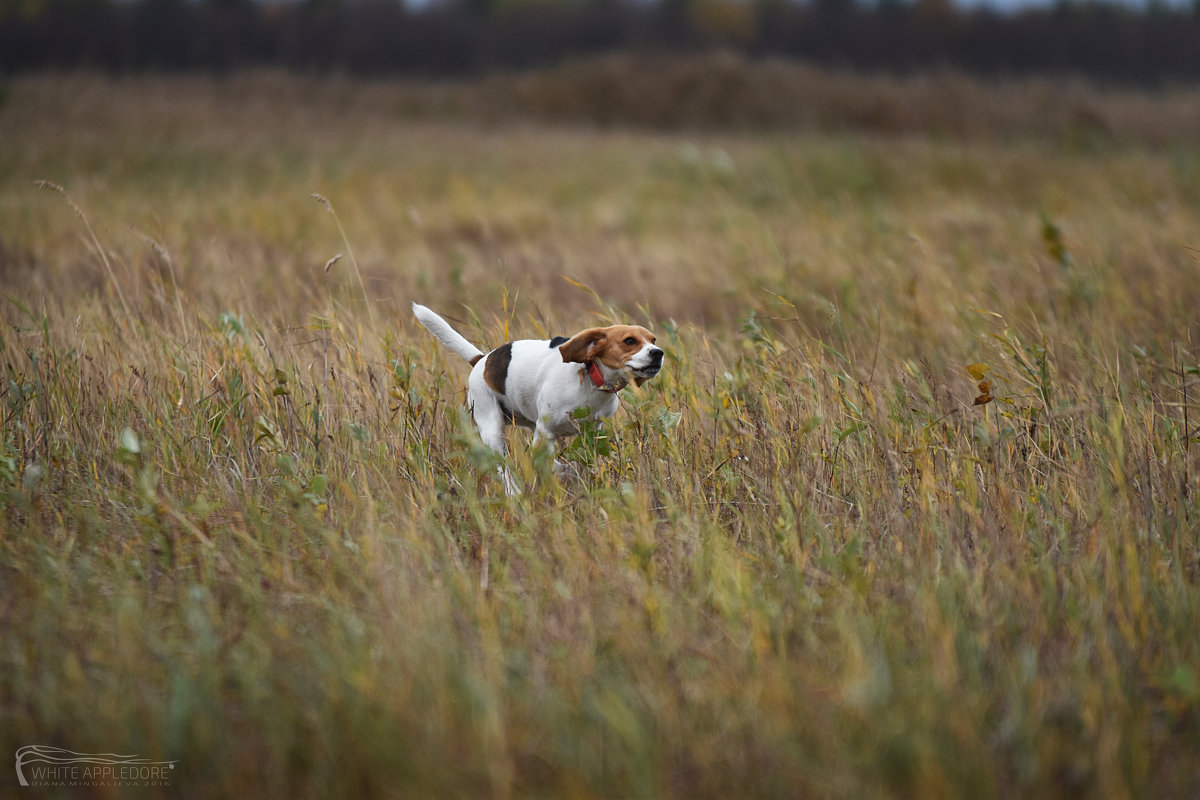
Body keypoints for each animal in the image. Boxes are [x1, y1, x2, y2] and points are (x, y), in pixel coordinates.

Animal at [408, 299, 662, 489]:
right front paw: (565, 472)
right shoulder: (545, 431)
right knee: (503, 468)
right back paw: (515, 493)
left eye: (653, 339)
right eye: (629, 341)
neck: (591, 381)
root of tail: (482, 360)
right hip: (492, 429)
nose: (658, 353)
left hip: (528, 421)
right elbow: (545, 462)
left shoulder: (590, 431)